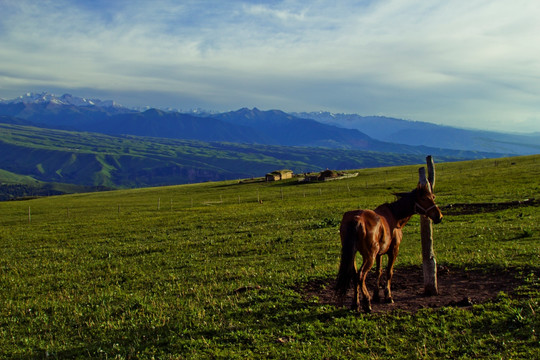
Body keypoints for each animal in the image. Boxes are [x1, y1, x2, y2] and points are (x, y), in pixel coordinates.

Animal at [334, 183, 442, 312]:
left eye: (433, 197)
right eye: (424, 198)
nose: (439, 216)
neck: (395, 216)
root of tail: (356, 219)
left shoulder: (379, 254)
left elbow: (378, 271)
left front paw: (376, 295)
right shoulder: (394, 250)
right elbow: (389, 272)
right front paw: (388, 296)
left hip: (353, 254)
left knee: (354, 275)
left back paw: (355, 303)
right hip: (369, 256)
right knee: (361, 275)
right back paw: (367, 302)